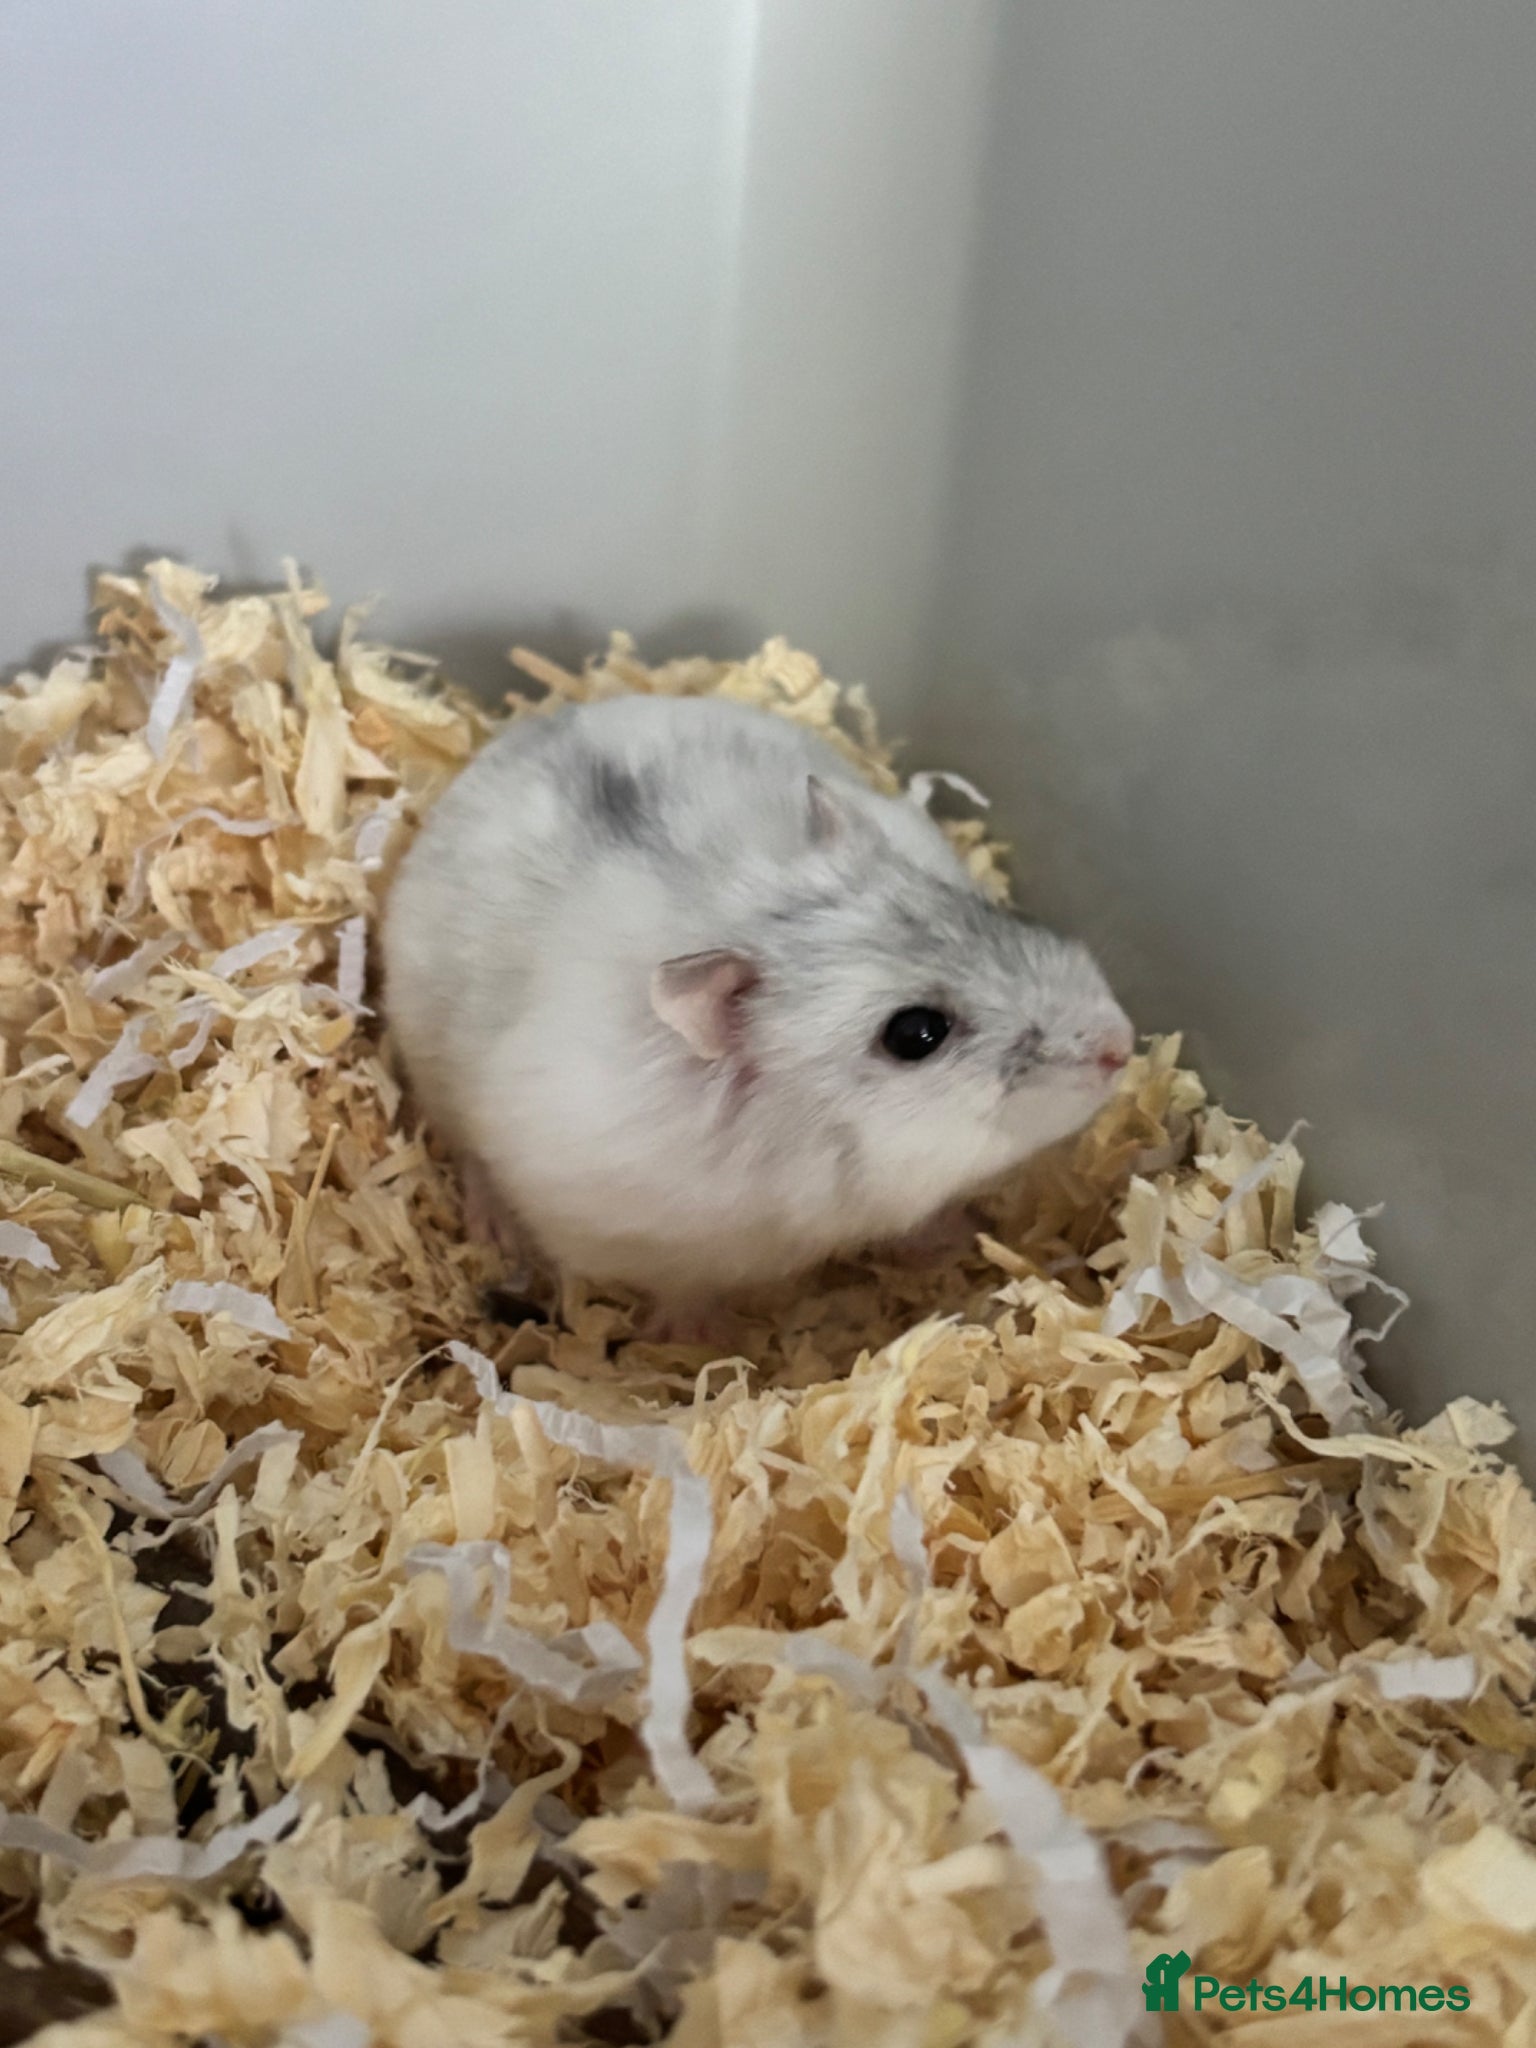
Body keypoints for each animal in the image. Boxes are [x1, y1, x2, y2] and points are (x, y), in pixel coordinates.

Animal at [382, 692, 1133, 1321]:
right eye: (916, 1034)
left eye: (986, 909)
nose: (1120, 1045)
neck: (814, 1142)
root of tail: (527, 725)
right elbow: (685, 1297)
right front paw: (692, 1338)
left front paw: (973, 1231)